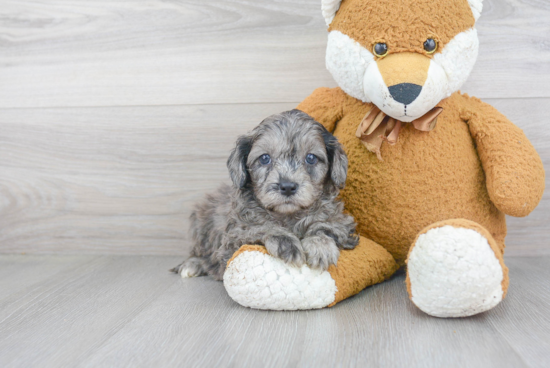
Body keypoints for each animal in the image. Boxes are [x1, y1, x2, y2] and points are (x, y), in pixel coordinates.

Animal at [174, 110, 362, 280]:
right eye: (264, 158)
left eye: (311, 158)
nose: (287, 187)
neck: (287, 216)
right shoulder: (231, 242)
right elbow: (260, 228)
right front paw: (286, 242)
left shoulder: (341, 223)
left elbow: (326, 226)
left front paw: (320, 246)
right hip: (201, 223)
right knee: (199, 253)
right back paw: (192, 265)